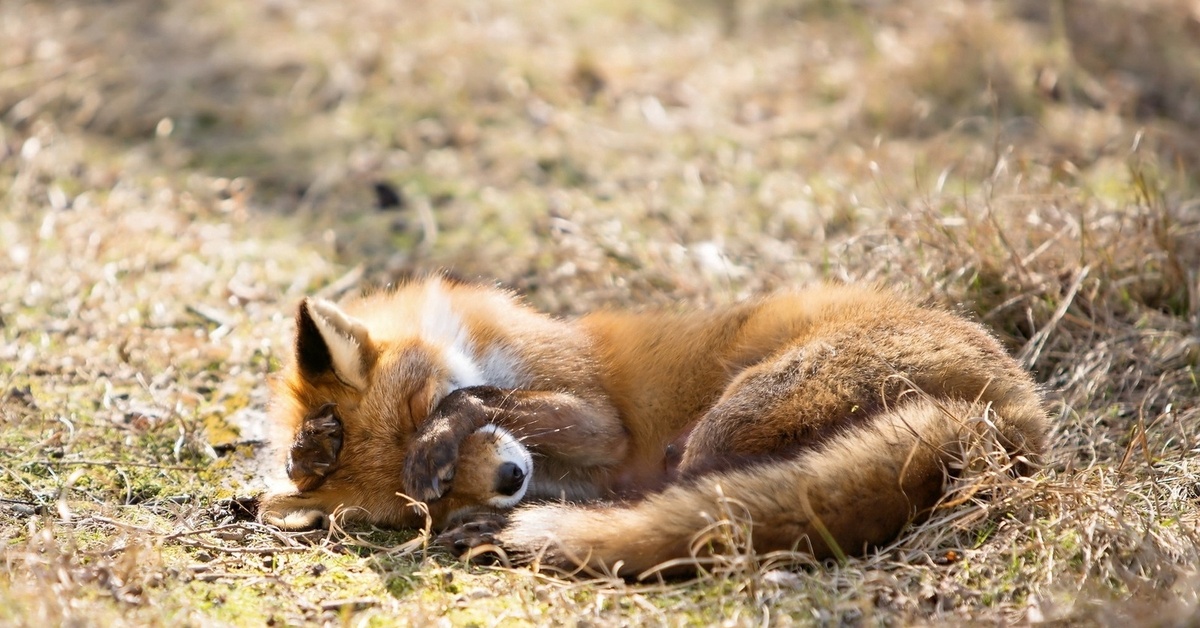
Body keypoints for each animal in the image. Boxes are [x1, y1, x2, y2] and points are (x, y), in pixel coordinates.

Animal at [258, 277, 1046, 578]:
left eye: (423, 410)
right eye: (429, 503)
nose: (510, 480)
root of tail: (1017, 412)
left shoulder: (596, 416)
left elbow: (479, 396)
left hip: (733, 416)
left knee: (701, 496)